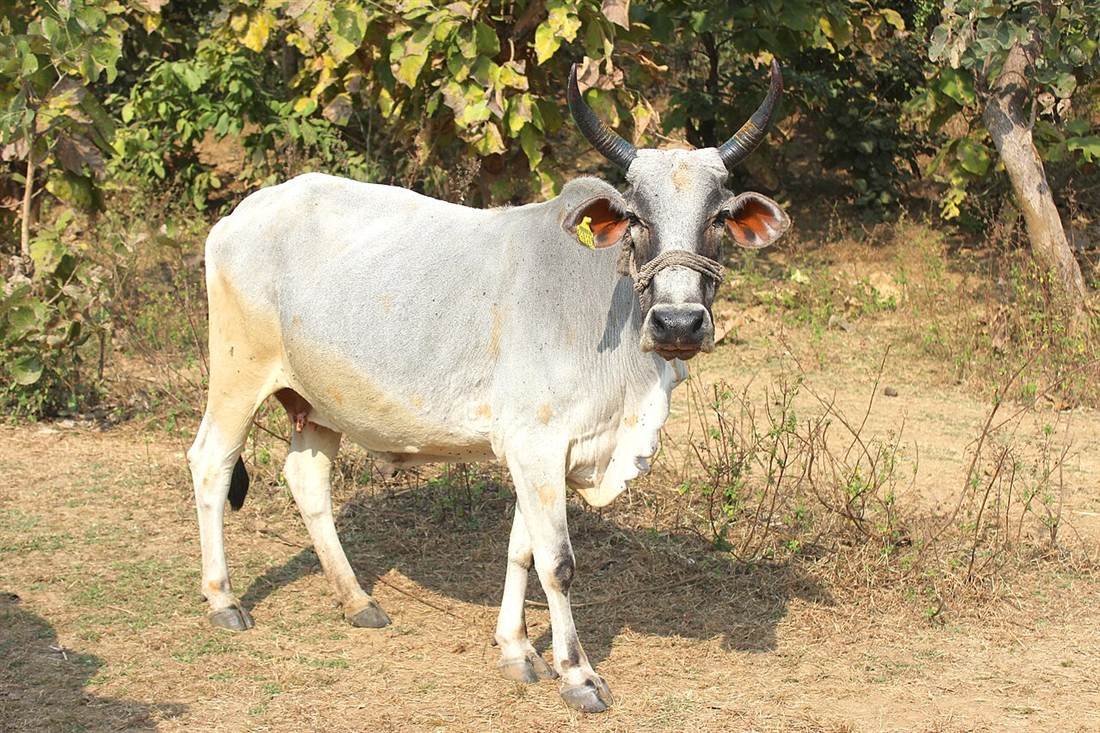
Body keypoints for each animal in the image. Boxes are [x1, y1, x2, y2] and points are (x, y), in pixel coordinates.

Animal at [187, 61, 790, 713]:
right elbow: (558, 563)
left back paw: (358, 601)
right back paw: (223, 600)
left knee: (306, 479)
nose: (678, 324)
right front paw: (577, 675)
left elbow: (522, 549)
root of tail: (239, 215)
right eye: (636, 218)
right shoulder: (537, 444)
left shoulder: (545, 453)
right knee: (212, 463)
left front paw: (517, 651)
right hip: (238, 375)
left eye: (718, 218)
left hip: (319, 403)